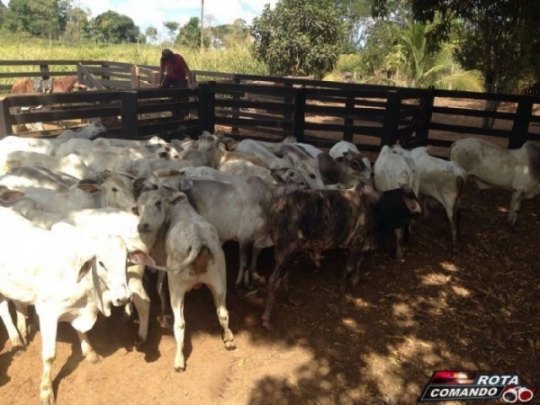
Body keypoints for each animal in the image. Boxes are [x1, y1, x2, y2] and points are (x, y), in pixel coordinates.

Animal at [262, 181, 422, 330]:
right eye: (412, 198)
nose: (420, 214)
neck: (377, 206)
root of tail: (275, 208)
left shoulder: (361, 246)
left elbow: (358, 263)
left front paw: (354, 281)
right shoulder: (356, 245)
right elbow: (349, 267)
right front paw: (344, 289)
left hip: (290, 254)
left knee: (285, 276)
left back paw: (291, 300)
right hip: (286, 251)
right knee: (273, 280)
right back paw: (266, 320)